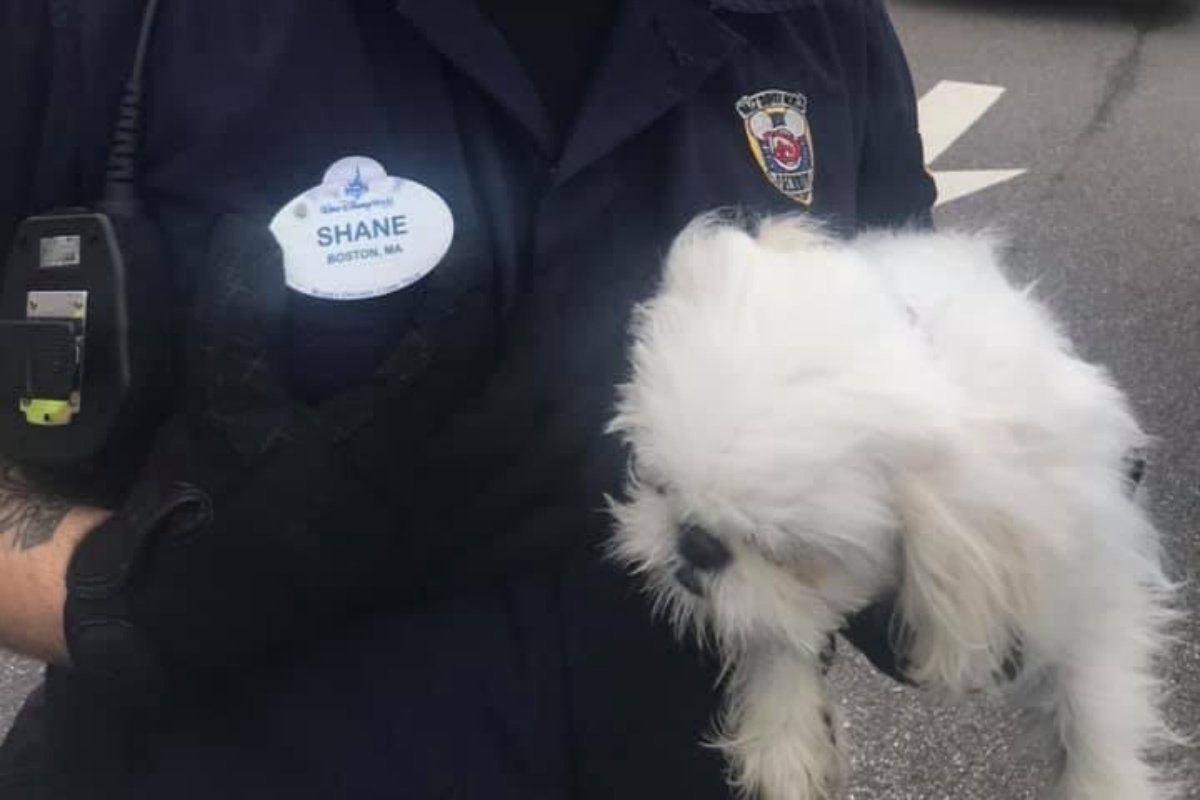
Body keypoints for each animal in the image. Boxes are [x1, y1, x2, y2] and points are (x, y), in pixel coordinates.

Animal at [609, 214, 1180, 800]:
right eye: (657, 484)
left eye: (788, 554)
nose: (693, 546)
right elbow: (774, 629)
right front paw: (784, 746)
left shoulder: (1088, 576)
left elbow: (1094, 710)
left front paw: (1105, 781)